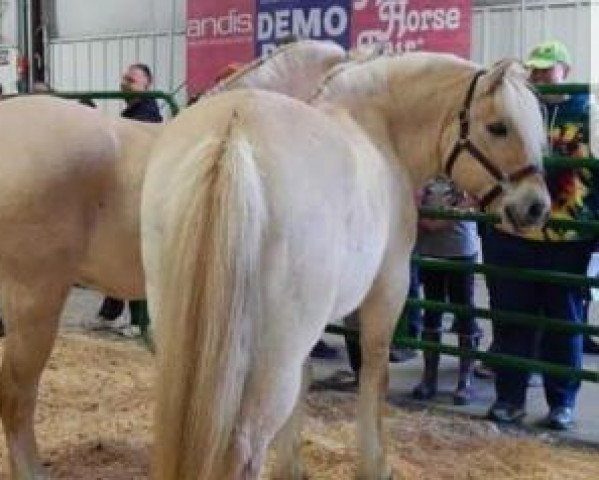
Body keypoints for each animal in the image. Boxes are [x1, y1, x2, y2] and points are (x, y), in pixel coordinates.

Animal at [144, 50, 552, 478]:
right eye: (498, 127)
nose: (536, 207)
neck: (378, 125)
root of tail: (235, 134)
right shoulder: (389, 288)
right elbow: (375, 372)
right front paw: (375, 465)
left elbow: (308, 378)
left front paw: (291, 467)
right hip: (272, 354)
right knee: (245, 445)